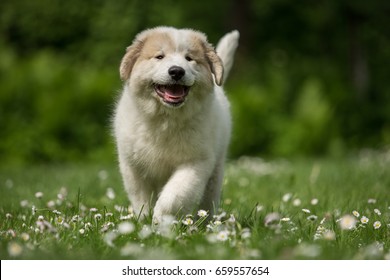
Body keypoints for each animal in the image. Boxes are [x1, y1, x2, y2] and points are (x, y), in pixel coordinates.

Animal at [113, 26, 238, 223]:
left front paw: (160, 218)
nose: (177, 71)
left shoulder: (195, 162)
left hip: (216, 170)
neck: (167, 119)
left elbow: (174, 194)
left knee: (208, 199)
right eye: (159, 57)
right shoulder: (132, 165)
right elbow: (140, 197)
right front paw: (144, 220)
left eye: (189, 58)